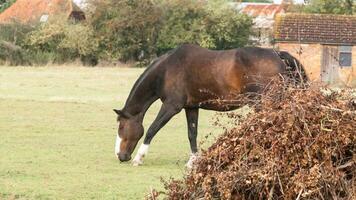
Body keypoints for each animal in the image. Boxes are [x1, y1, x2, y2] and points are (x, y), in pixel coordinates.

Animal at [114, 44, 306, 167]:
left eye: (121, 126)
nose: (120, 156)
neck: (167, 69)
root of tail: (278, 55)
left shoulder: (171, 107)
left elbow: (152, 129)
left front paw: (139, 158)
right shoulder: (191, 107)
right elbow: (192, 134)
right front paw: (193, 161)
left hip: (264, 103)